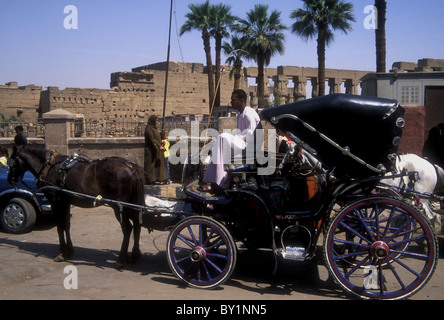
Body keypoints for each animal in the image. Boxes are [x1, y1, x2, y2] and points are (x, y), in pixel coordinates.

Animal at [8, 148, 147, 268]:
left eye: (11, 162)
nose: (9, 179)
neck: (49, 166)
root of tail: (130, 166)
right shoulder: (65, 202)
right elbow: (66, 225)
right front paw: (69, 250)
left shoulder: (55, 202)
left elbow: (59, 226)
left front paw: (62, 252)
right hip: (131, 204)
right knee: (137, 224)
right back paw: (135, 255)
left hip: (118, 207)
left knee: (127, 228)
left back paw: (121, 259)